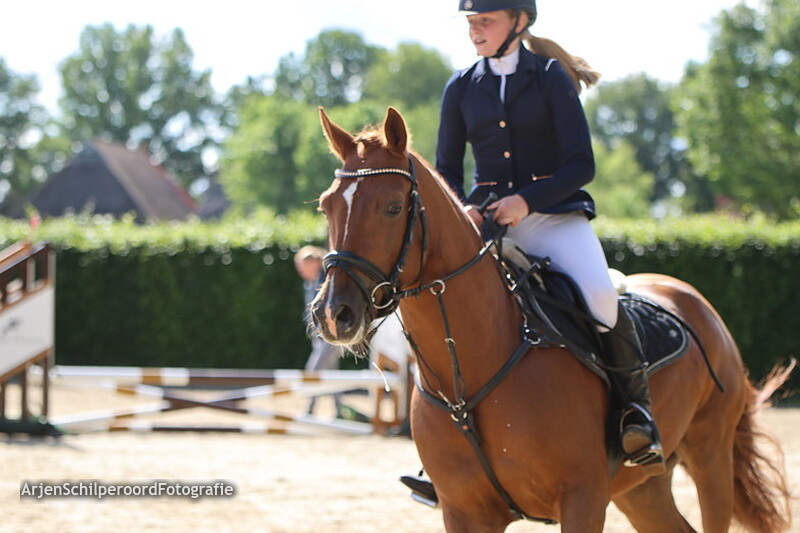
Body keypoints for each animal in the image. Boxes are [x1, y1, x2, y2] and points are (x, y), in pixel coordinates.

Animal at [310, 106, 792, 532]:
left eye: (393, 207)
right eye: (326, 207)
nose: (334, 314)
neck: (470, 372)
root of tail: (692, 298)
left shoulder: (583, 498)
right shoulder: (465, 513)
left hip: (710, 457)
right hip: (642, 487)